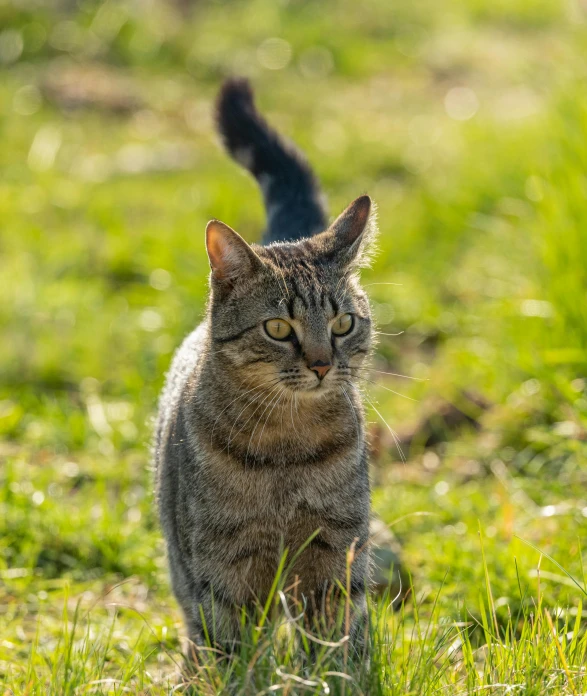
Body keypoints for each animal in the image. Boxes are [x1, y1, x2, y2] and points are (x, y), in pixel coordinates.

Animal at [154, 79, 378, 656]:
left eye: (342, 323)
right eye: (278, 328)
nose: (321, 364)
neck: (286, 450)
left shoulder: (336, 551)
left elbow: (335, 642)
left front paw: (335, 670)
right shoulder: (221, 566)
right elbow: (233, 648)